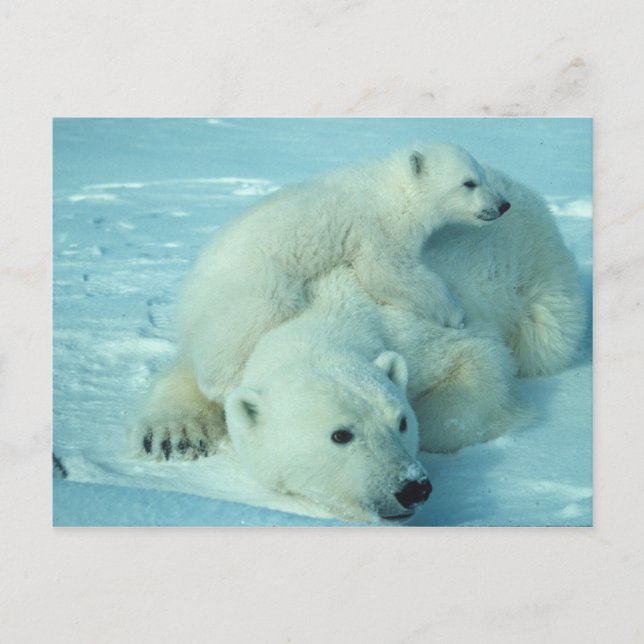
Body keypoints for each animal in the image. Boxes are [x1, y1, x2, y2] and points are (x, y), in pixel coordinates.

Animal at [177, 143, 511, 404]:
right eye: (468, 183)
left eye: (482, 175)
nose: (503, 205)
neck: (393, 190)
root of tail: (189, 291)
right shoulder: (378, 227)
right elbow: (387, 271)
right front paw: (454, 313)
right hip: (253, 279)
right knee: (253, 316)